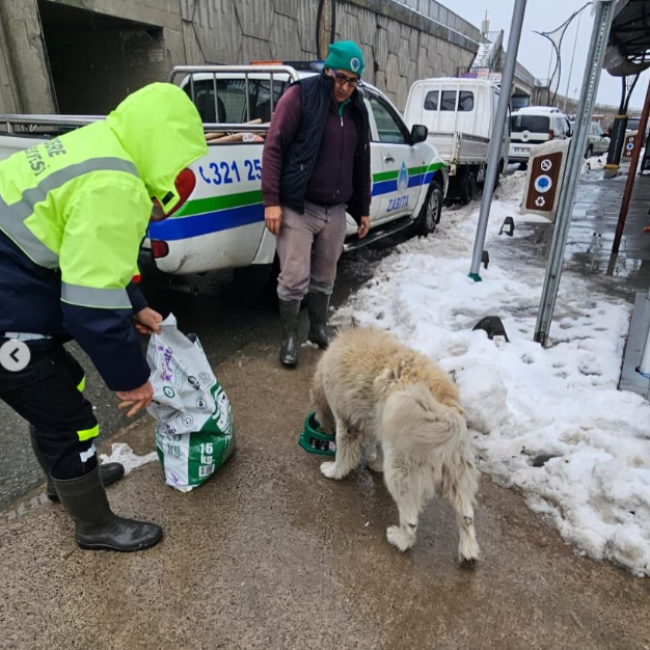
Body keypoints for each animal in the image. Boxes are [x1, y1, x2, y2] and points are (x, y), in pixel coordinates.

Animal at [312, 326, 478, 564]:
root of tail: (448, 407)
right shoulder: (381, 426)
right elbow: (379, 446)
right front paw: (375, 464)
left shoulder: (346, 421)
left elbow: (344, 453)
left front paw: (333, 471)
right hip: (457, 471)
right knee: (466, 516)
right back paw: (468, 552)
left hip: (402, 471)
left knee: (410, 520)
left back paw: (399, 539)